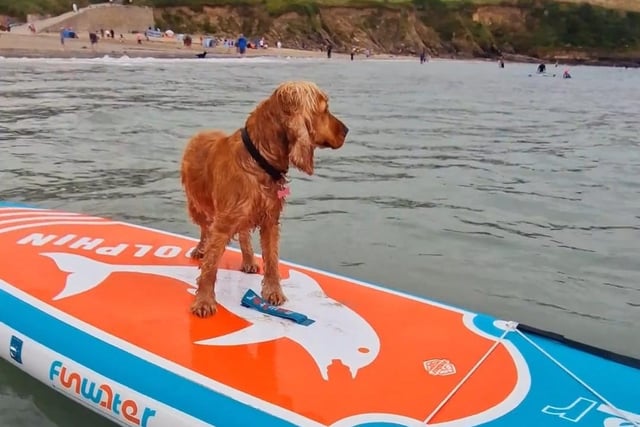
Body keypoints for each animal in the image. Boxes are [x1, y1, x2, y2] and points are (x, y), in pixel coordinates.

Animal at [180, 82, 350, 320]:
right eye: (324, 109)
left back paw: (249, 261)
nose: (346, 130)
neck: (259, 160)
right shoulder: (223, 223)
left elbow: (272, 260)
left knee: (243, 235)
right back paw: (200, 249)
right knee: (205, 228)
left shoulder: (270, 220)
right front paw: (204, 301)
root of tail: (200, 133)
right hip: (196, 204)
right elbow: (210, 266)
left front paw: (273, 292)